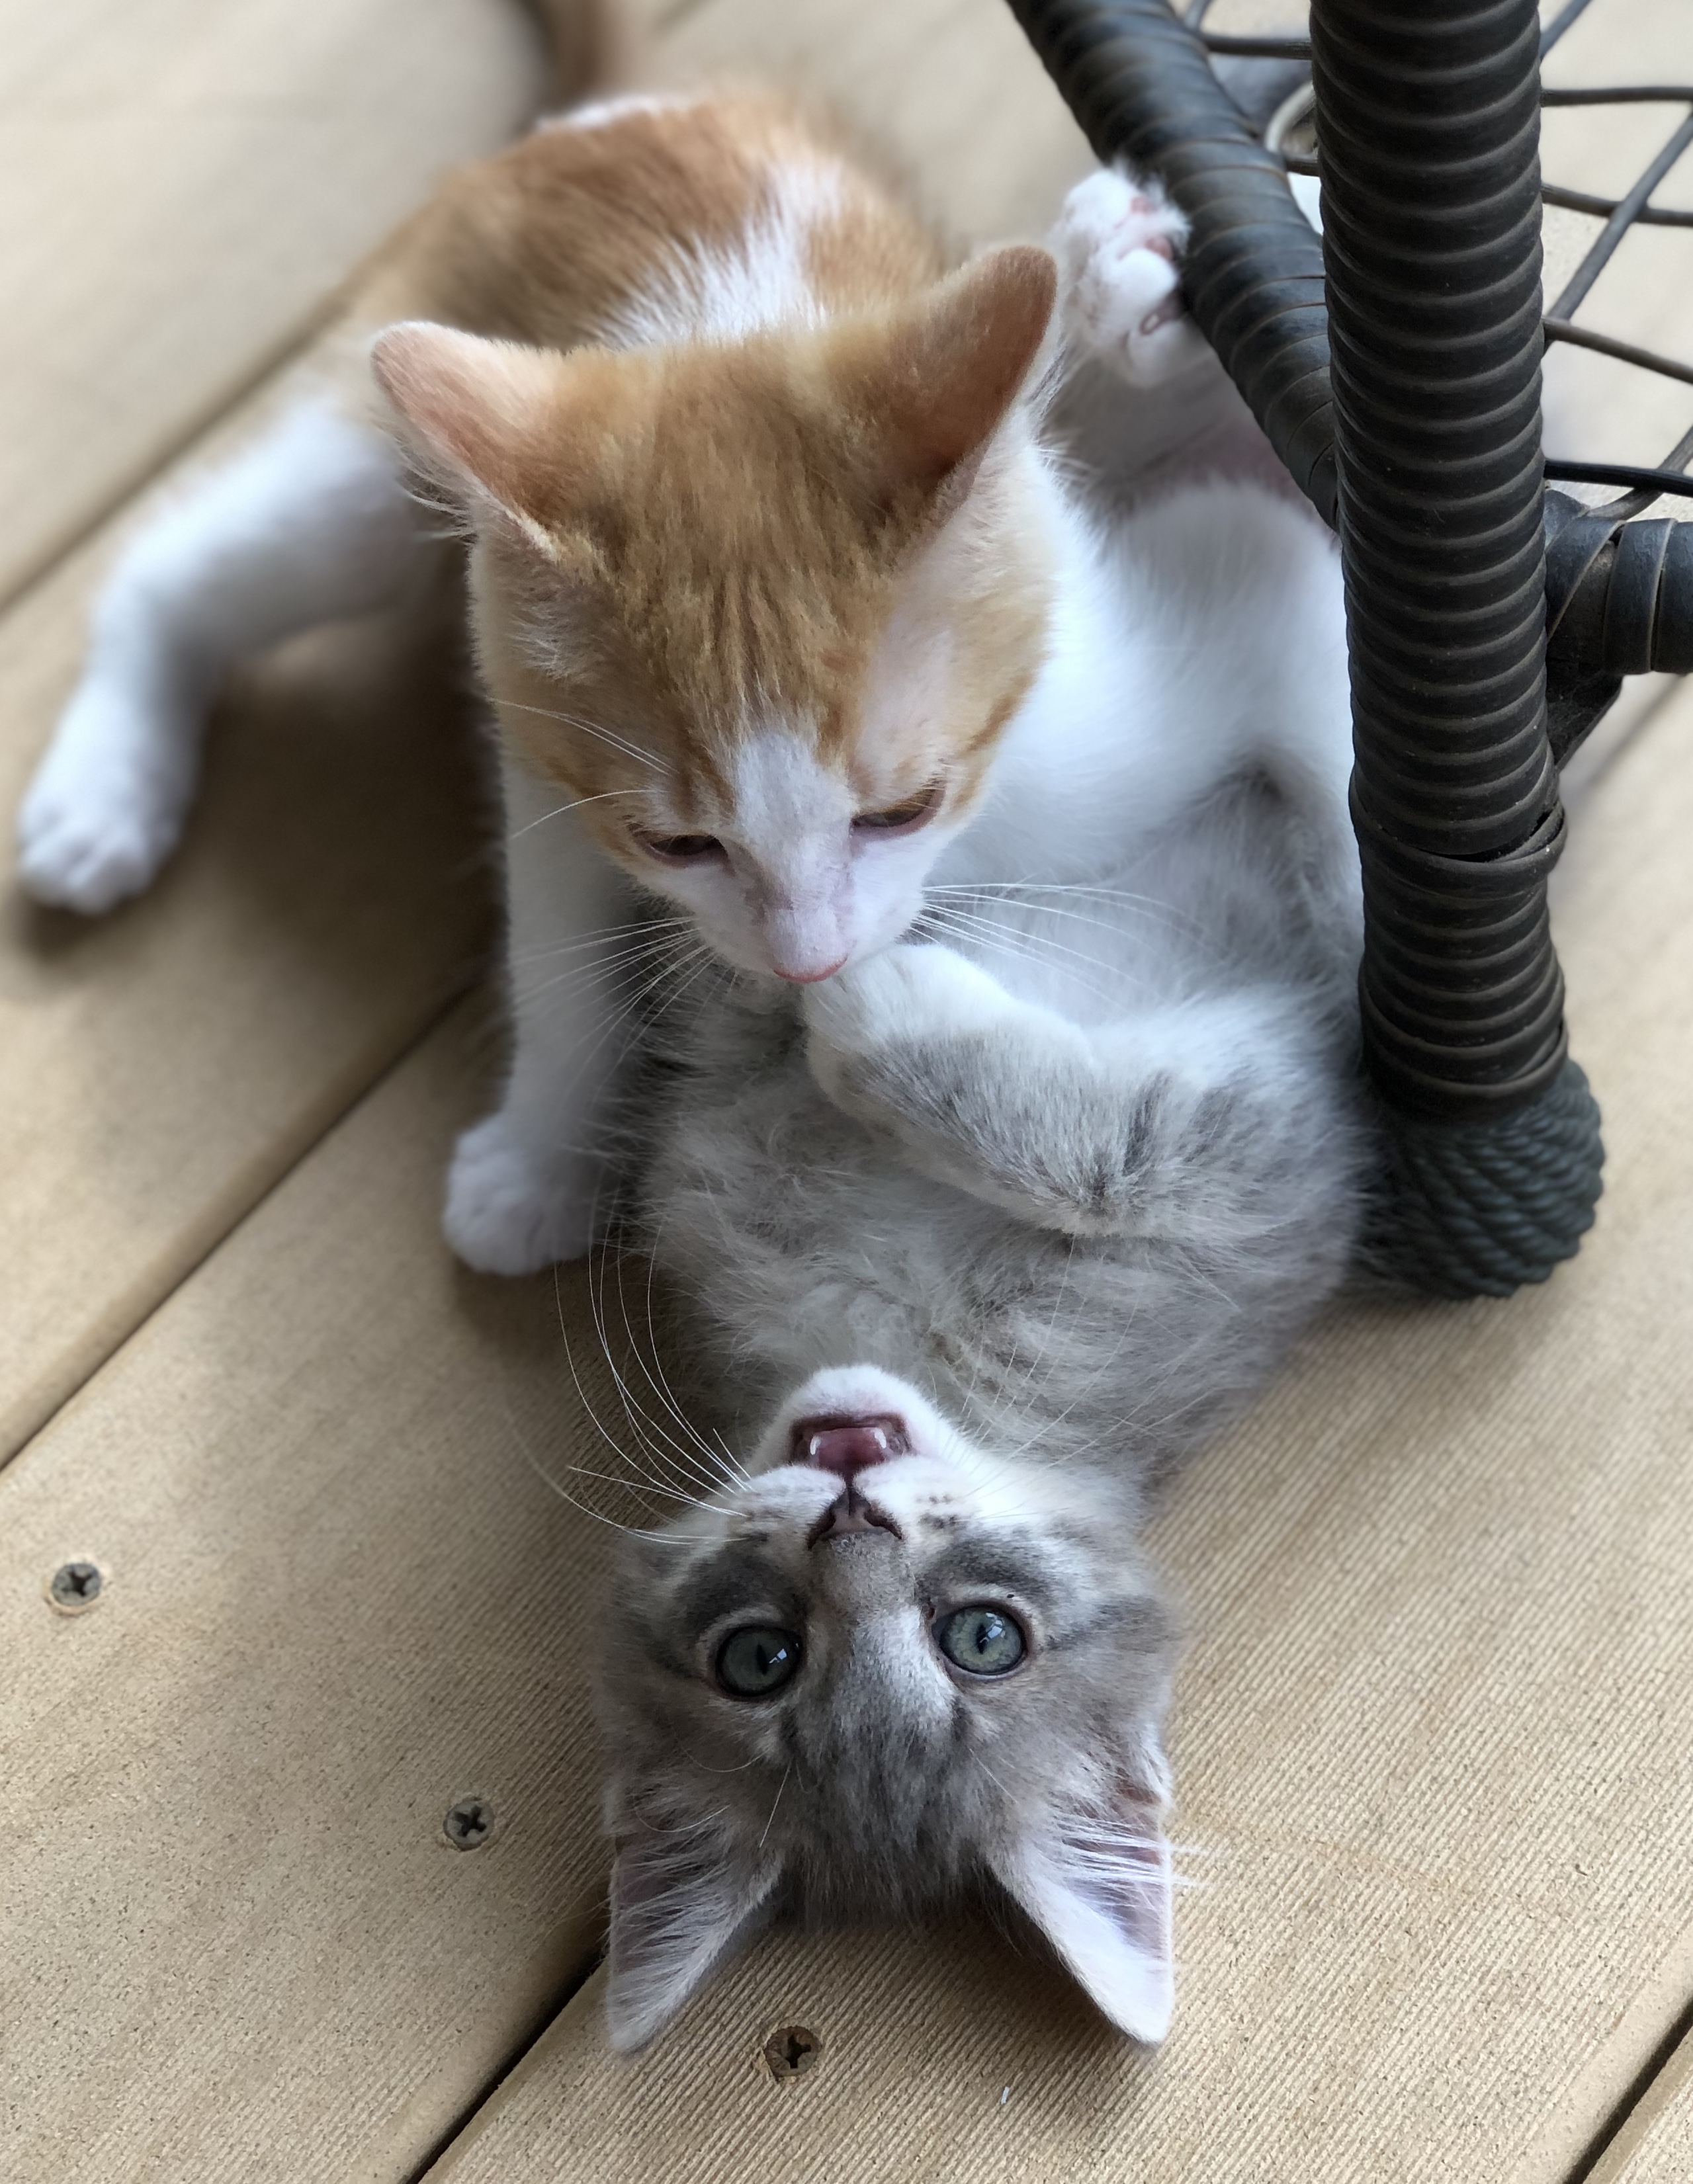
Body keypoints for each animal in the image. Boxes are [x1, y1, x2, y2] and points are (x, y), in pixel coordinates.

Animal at [16, 90, 1300, 1280]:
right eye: (679, 844)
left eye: (901, 811)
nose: (807, 962)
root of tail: (613, 111)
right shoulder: (544, 754)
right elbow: (554, 953)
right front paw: (538, 1160)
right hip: (385, 462)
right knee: (175, 565)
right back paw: (99, 797)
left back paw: (1110, 284)